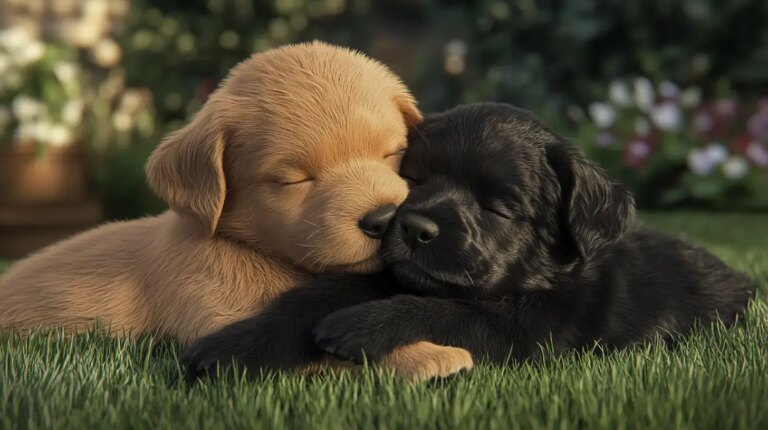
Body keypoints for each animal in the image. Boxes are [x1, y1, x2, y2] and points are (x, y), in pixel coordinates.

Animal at [0, 41, 472, 380]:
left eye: (394, 152)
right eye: (294, 180)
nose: (384, 218)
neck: (257, 253)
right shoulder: (218, 316)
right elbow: (304, 349)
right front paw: (427, 358)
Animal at [184, 102, 756, 374]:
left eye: (497, 207)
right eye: (415, 179)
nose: (414, 227)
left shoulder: (529, 331)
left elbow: (447, 310)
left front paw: (360, 327)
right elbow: (317, 294)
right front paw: (231, 346)